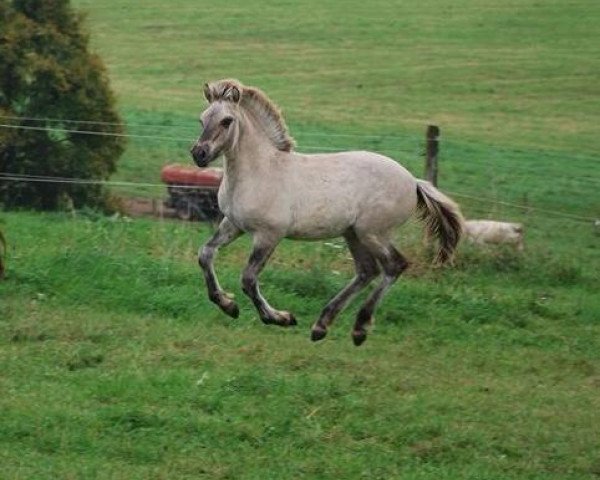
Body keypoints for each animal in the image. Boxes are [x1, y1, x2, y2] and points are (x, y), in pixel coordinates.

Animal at [190, 80, 462, 346]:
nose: (199, 154)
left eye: (227, 121)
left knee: (394, 266)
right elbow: (205, 254)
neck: (260, 170)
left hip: (372, 233)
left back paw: (359, 328)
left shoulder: (269, 234)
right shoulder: (233, 224)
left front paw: (280, 318)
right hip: (353, 234)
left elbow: (248, 279)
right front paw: (228, 305)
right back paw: (322, 325)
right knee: (367, 271)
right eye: (202, 119)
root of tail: (413, 181)